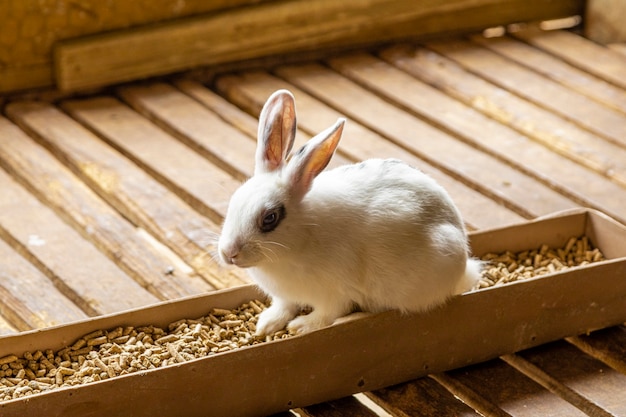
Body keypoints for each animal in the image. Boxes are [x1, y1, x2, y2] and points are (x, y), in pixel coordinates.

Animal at [217, 88, 480, 334]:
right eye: (233, 200)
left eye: (270, 218)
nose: (229, 253)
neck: (302, 238)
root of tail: (465, 266)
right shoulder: (285, 296)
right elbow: (284, 306)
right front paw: (266, 325)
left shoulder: (335, 295)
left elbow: (326, 315)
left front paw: (300, 327)